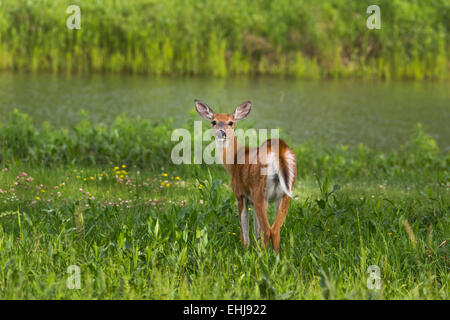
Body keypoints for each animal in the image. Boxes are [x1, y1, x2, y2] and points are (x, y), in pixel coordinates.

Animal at [194, 99, 298, 254]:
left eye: (231, 122)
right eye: (213, 121)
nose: (221, 132)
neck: (234, 162)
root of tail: (280, 150)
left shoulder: (240, 194)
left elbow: (245, 228)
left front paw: (245, 250)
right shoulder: (252, 200)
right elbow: (256, 229)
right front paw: (254, 248)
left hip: (260, 191)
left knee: (267, 230)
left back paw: (264, 256)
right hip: (285, 193)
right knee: (275, 229)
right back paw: (276, 255)